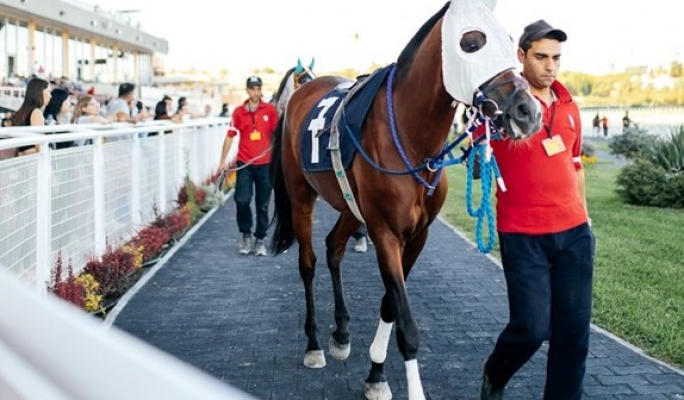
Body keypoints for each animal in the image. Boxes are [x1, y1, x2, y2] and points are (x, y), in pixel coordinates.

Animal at [269, 1, 542, 399]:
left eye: (510, 40)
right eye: (471, 42)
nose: (529, 112)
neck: (412, 141)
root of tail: (303, 93)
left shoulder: (418, 234)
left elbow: (389, 305)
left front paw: (376, 374)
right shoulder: (385, 233)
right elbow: (406, 323)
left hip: (349, 204)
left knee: (334, 246)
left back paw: (341, 334)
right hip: (301, 195)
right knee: (308, 262)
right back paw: (315, 344)